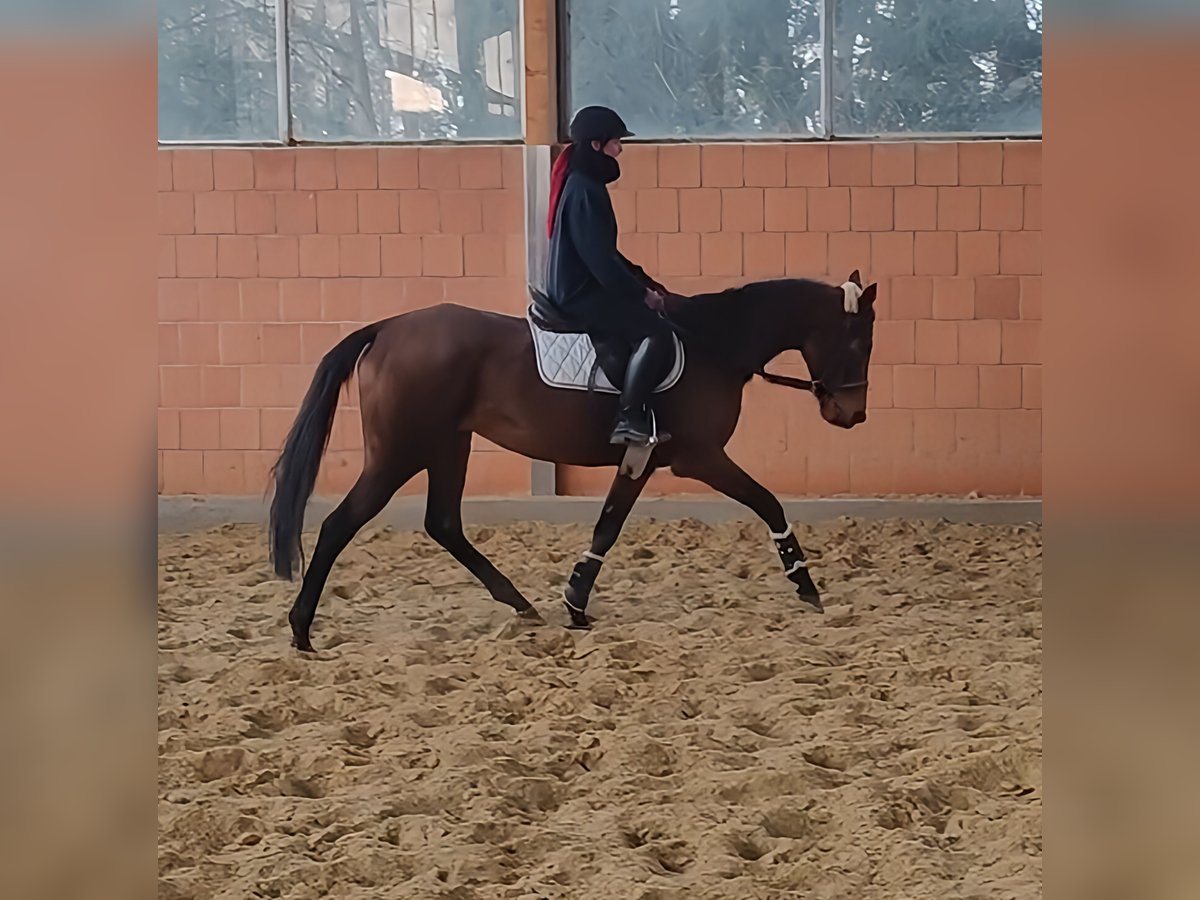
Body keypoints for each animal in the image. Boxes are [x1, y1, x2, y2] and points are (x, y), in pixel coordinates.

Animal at [270, 271, 873, 652]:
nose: (853, 415)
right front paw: (806, 585)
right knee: (340, 524)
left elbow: (608, 525)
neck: (712, 345)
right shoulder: (699, 457)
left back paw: (520, 605)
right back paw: (301, 629)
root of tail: (387, 328)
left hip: (447, 445)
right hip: (399, 452)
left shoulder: (643, 459)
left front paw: (575, 602)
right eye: (859, 343)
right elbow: (767, 502)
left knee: (443, 523)